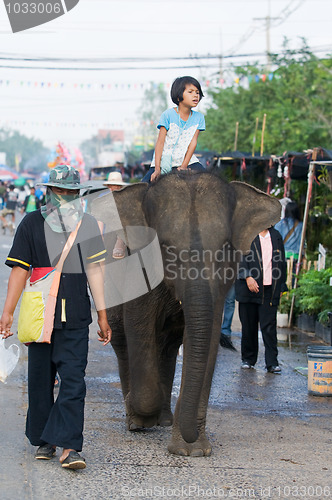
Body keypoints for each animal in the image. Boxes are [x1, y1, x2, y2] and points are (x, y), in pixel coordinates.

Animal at [90, 170, 280, 456]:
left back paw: (165, 419)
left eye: (225, 248)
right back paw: (135, 419)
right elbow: (138, 327)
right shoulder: (139, 270)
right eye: (165, 248)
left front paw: (194, 451)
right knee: (122, 340)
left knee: (168, 347)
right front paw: (139, 410)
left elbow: (207, 338)